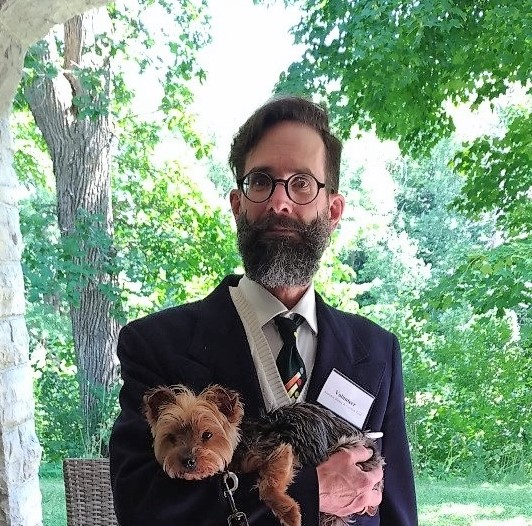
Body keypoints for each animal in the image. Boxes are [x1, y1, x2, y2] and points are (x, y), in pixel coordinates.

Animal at [142, 384, 382, 526]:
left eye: (207, 435)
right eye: (172, 437)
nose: (187, 461)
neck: (238, 448)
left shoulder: (282, 450)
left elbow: (268, 485)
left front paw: (288, 512)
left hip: (347, 444)